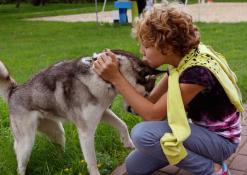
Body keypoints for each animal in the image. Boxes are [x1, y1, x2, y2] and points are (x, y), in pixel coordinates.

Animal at [0, 50, 164, 175]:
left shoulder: (103, 112)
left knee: (59, 147)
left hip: (57, 132)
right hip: (26, 143)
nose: (136, 112)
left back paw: (64, 160)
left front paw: (128, 143)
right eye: (147, 93)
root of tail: (14, 90)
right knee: (20, 167)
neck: (102, 77)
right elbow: (92, 162)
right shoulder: (86, 132)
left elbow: (122, 124)